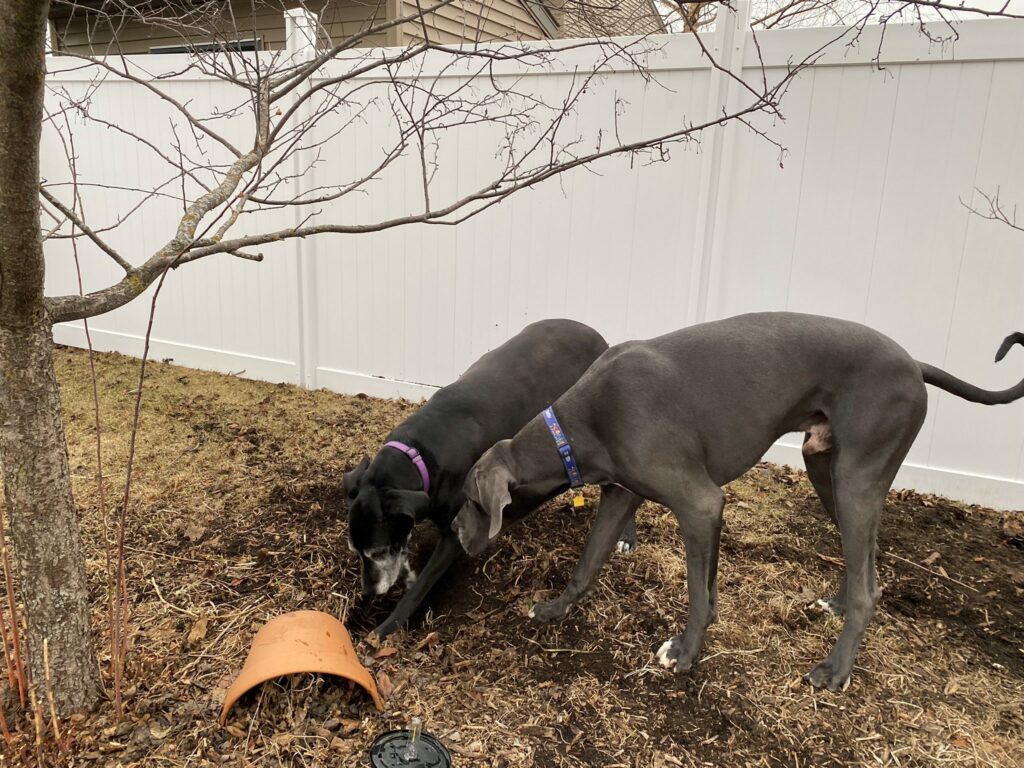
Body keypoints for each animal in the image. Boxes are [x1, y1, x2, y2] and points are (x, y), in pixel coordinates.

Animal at [344, 319, 614, 638]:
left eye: (377, 551)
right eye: (356, 551)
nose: (369, 593)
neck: (419, 452)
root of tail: (595, 333)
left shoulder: (453, 534)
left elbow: (421, 587)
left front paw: (387, 627)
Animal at [452, 313, 1019, 692]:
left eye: (471, 501)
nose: (456, 531)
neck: (579, 425)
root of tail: (915, 364)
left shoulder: (699, 503)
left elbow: (695, 593)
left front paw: (684, 653)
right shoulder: (623, 497)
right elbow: (589, 565)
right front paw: (552, 609)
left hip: (857, 478)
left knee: (869, 590)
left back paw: (833, 671)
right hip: (828, 471)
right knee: (866, 564)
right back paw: (835, 605)